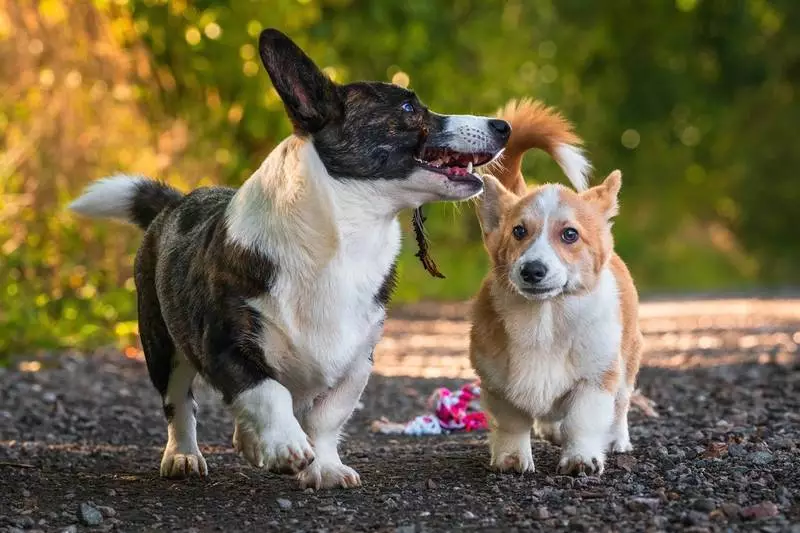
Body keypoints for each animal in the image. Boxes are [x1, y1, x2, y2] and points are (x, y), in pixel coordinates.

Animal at [69, 28, 506, 486]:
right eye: (407, 107)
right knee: (179, 404)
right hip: (162, 345)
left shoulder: (357, 362)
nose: (503, 126)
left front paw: (325, 467)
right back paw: (184, 456)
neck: (346, 236)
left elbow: (326, 419)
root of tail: (175, 202)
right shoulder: (224, 345)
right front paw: (286, 446)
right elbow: (267, 392)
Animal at [472, 100, 640, 474]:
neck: (544, 321)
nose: (533, 270)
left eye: (570, 234)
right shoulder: (499, 385)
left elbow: (583, 422)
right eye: (519, 231)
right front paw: (511, 459)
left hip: (628, 361)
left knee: (621, 405)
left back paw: (618, 440)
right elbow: (513, 424)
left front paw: (581, 459)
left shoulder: (595, 380)